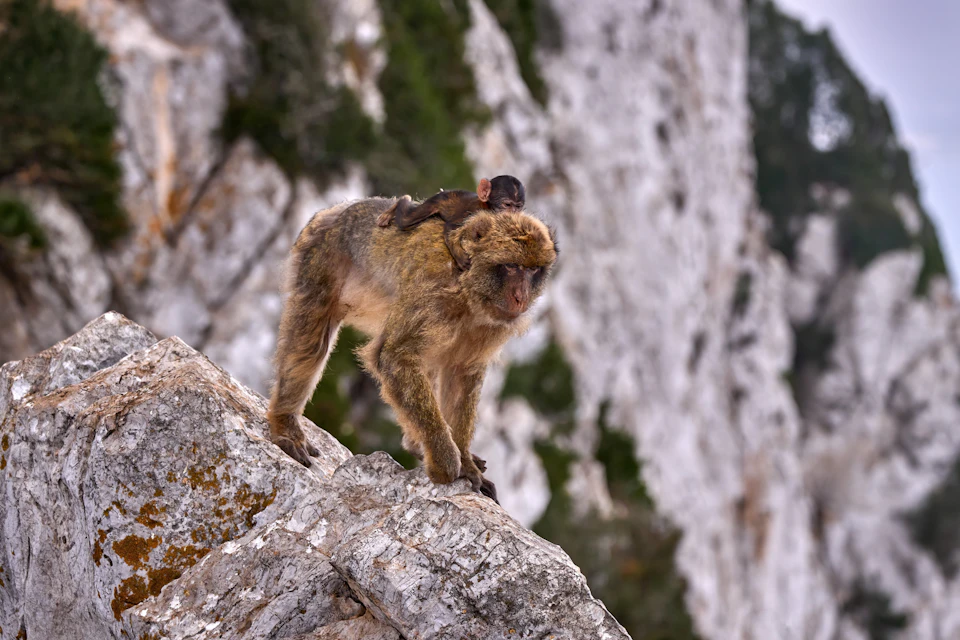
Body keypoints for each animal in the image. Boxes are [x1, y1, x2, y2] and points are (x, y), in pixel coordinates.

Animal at [268, 197, 556, 503]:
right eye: (512, 266)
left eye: (532, 270)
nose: (521, 297)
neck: (469, 290)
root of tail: (336, 209)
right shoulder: (432, 292)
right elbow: (394, 358)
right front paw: (447, 463)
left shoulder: (491, 324)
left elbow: (462, 372)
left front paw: (465, 460)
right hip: (322, 253)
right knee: (312, 338)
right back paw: (285, 421)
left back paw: (418, 444)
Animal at [375, 175, 526, 270]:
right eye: (507, 205)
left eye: (518, 207)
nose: (514, 213)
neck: (486, 206)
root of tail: (446, 191)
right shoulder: (473, 213)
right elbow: (451, 227)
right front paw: (459, 256)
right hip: (437, 200)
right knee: (406, 220)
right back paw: (402, 201)